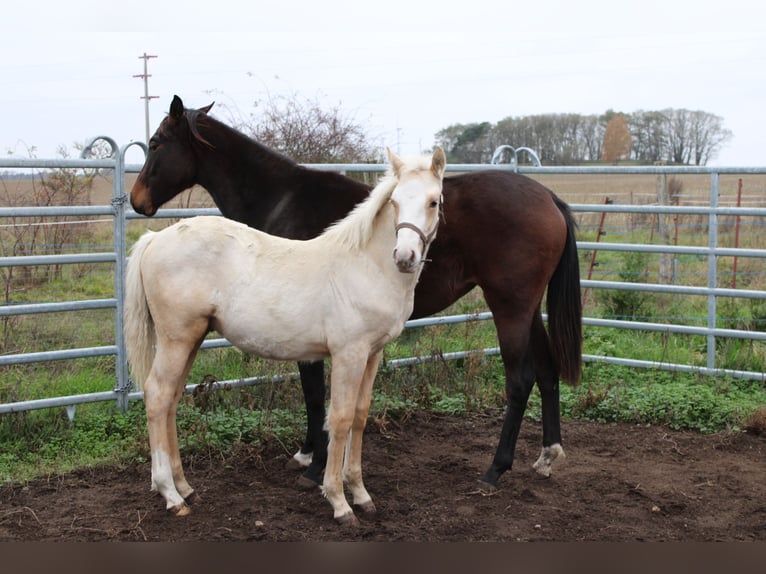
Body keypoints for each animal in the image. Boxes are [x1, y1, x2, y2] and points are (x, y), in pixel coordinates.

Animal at [130, 95, 584, 496]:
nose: (137, 200)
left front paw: (314, 465)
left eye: (156, 143)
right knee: (547, 372)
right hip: (528, 309)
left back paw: (495, 469)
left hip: (510, 307)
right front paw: (312, 458)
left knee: (520, 380)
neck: (281, 196)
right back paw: (547, 455)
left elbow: (316, 398)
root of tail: (548, 197)